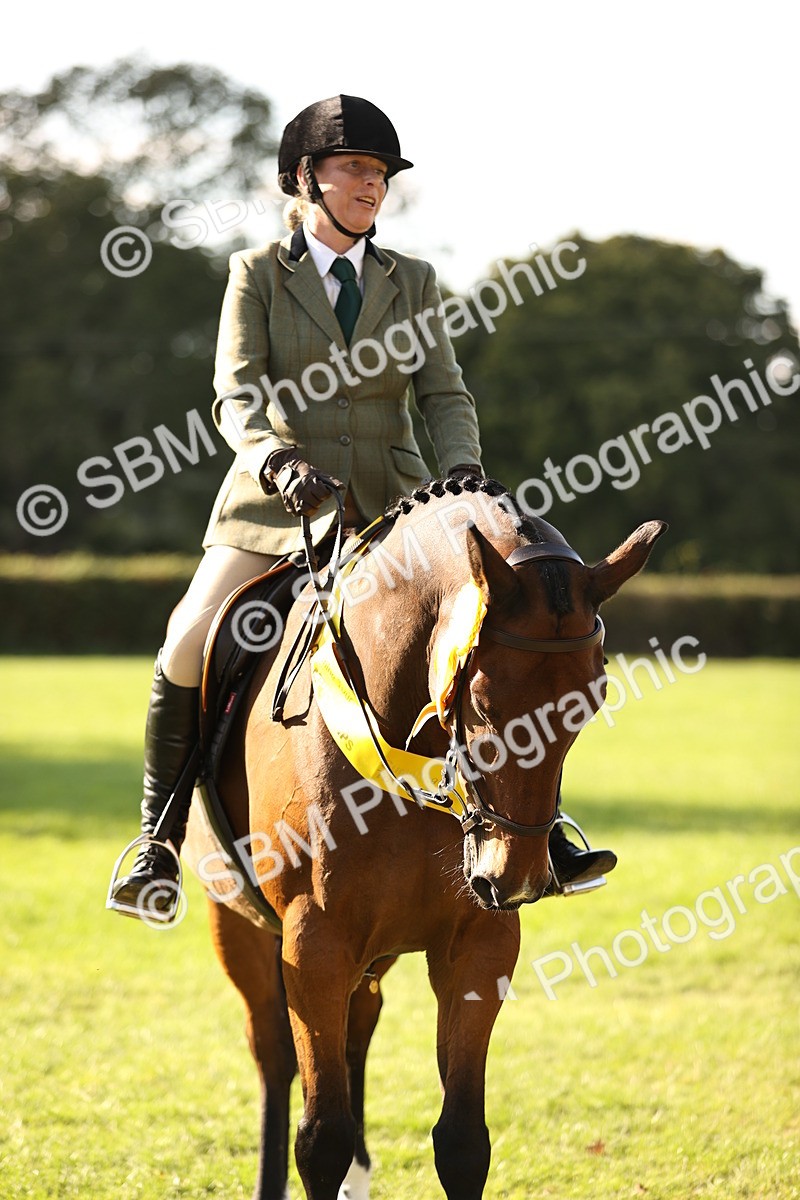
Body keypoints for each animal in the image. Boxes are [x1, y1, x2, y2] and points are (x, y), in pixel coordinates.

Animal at [185, 476, 666, 1200]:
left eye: (592, 700)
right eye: (485, 703)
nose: (514, 875)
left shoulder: (480, 942)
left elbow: (463, 1141)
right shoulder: (314, 943)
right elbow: (319, 1138)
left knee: (355, 1033)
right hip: (238, 923)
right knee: (274, 1054)